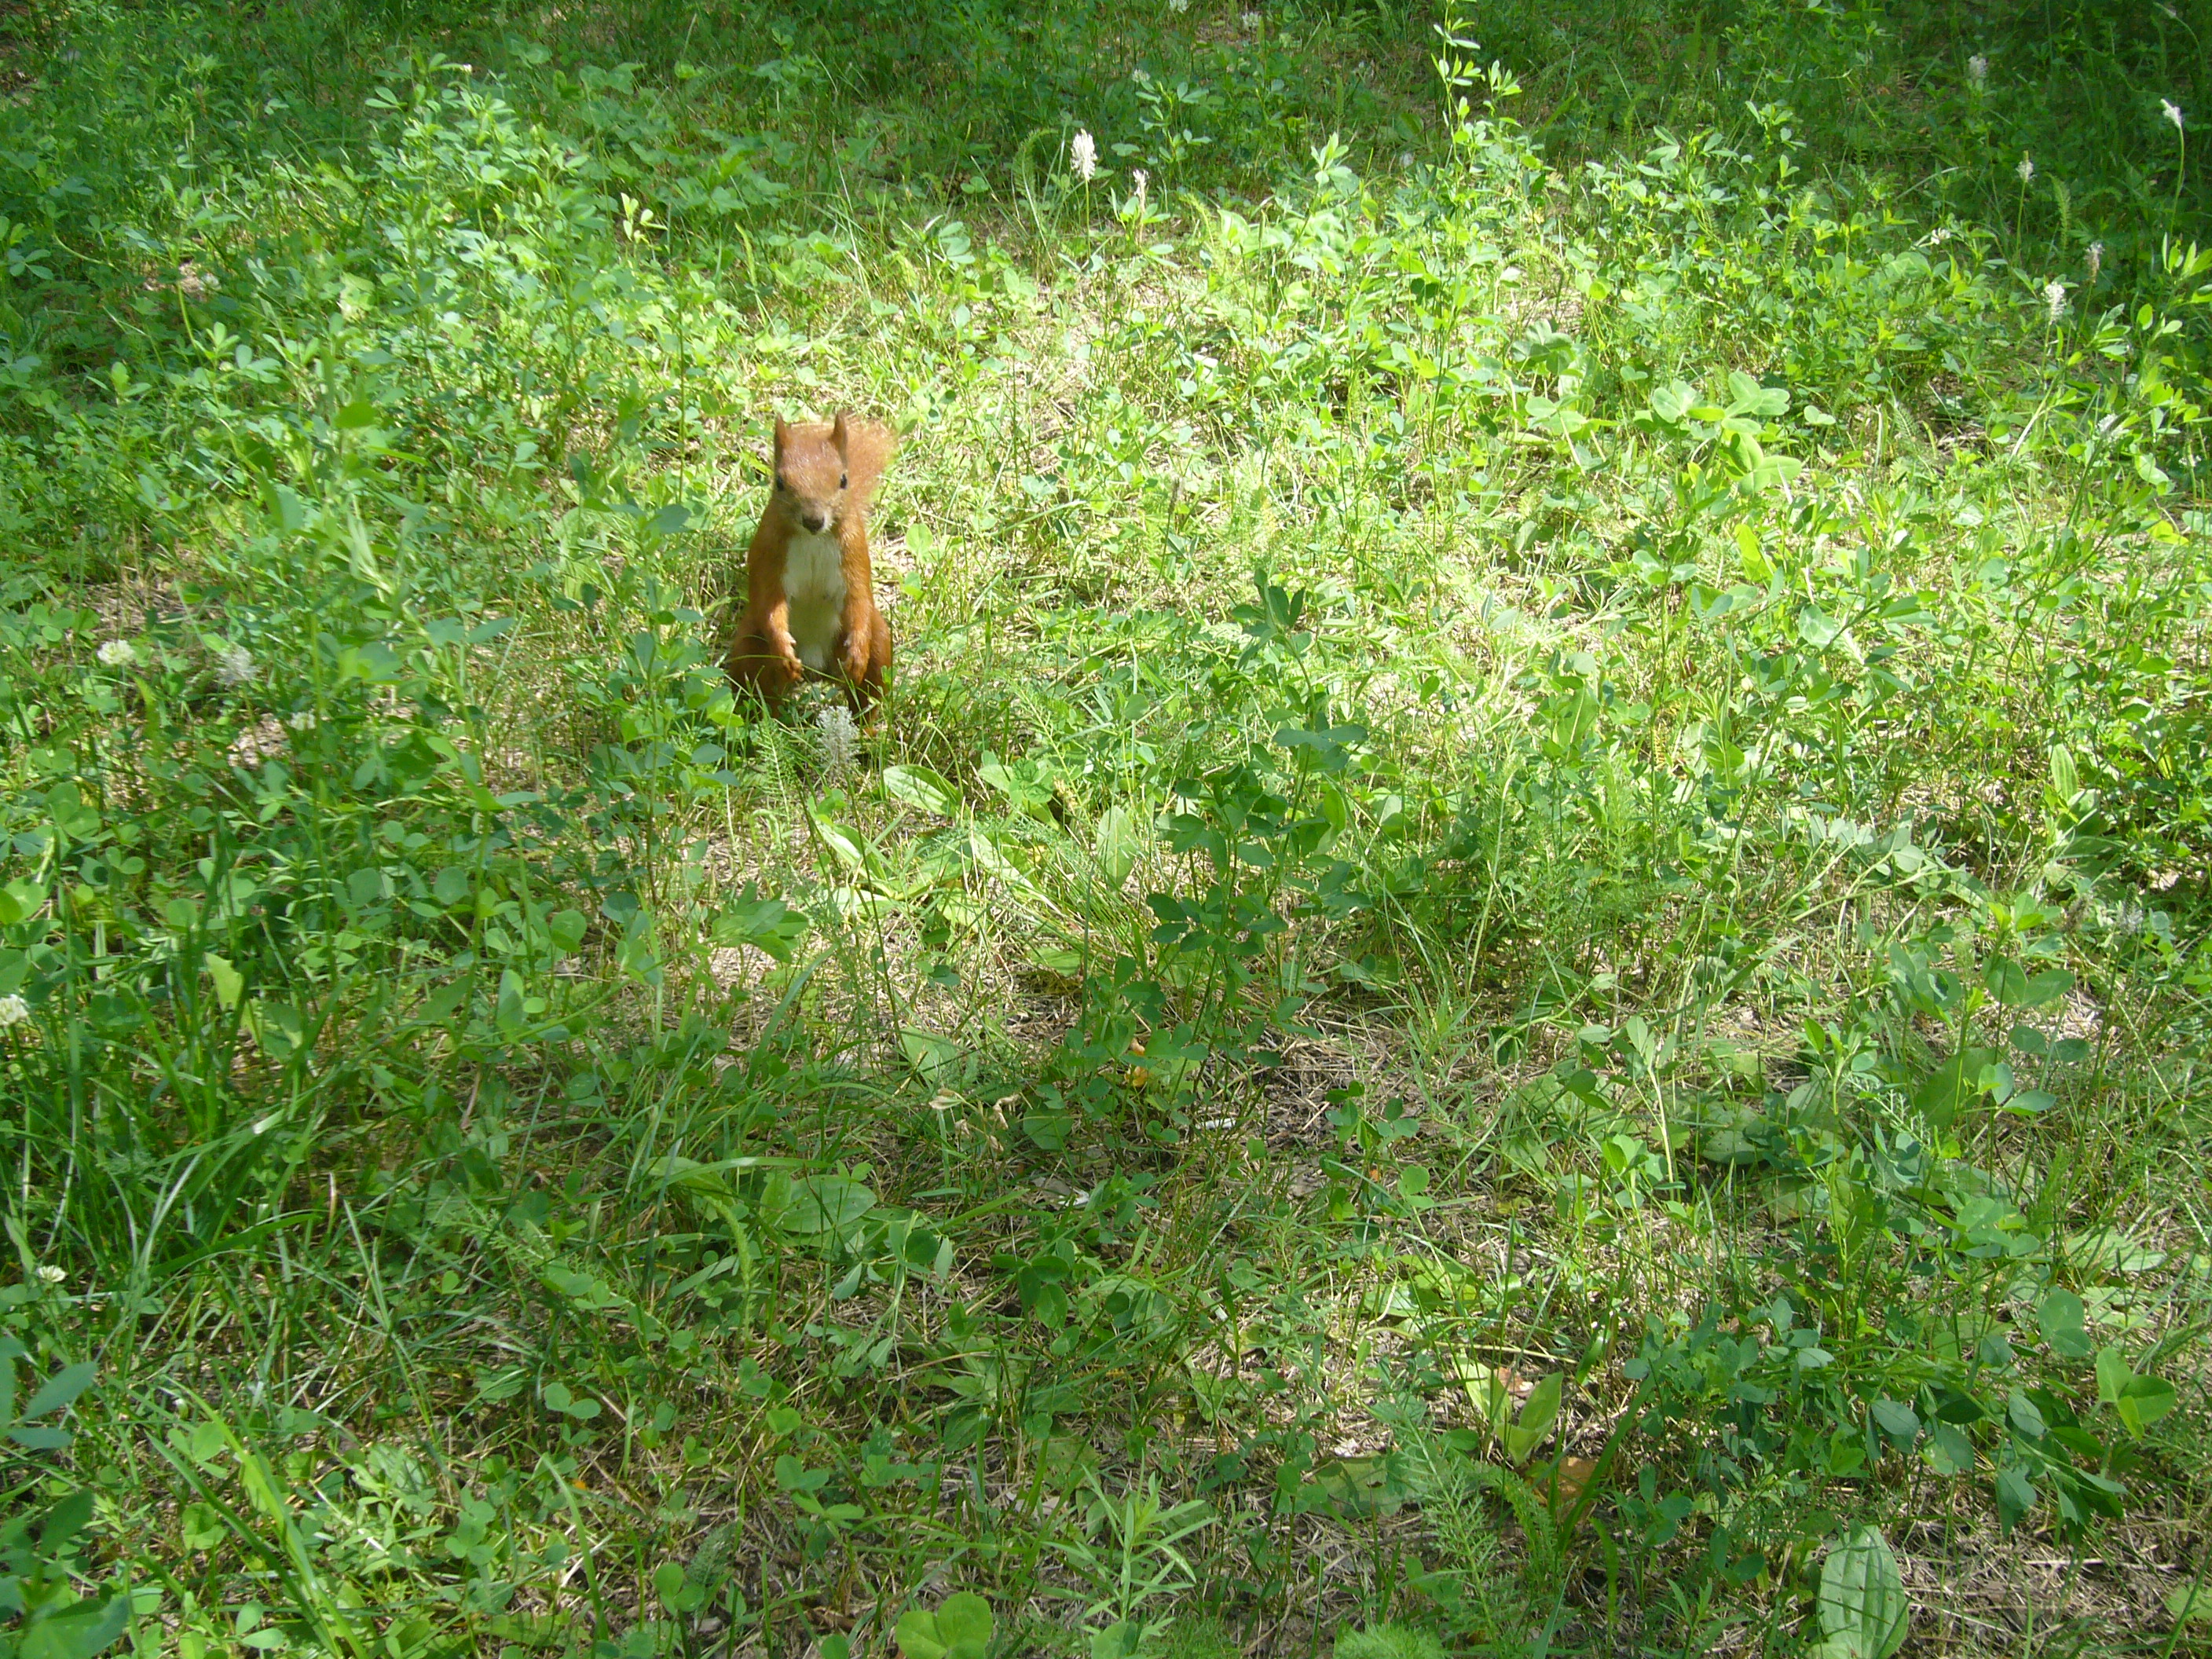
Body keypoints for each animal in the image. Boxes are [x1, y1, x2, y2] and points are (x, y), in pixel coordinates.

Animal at [723, 412, 896, 710]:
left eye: (843, 480)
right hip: (750, 647)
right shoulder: (769, 554)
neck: (813, 540)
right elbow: (770, 603)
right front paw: (783, 652)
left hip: (877, 645)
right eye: (780, 482)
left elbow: (859, 600)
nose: (814, 521)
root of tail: (817, 670)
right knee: (761, 691)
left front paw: (857, 654)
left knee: (866, 693)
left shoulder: (853, 553)